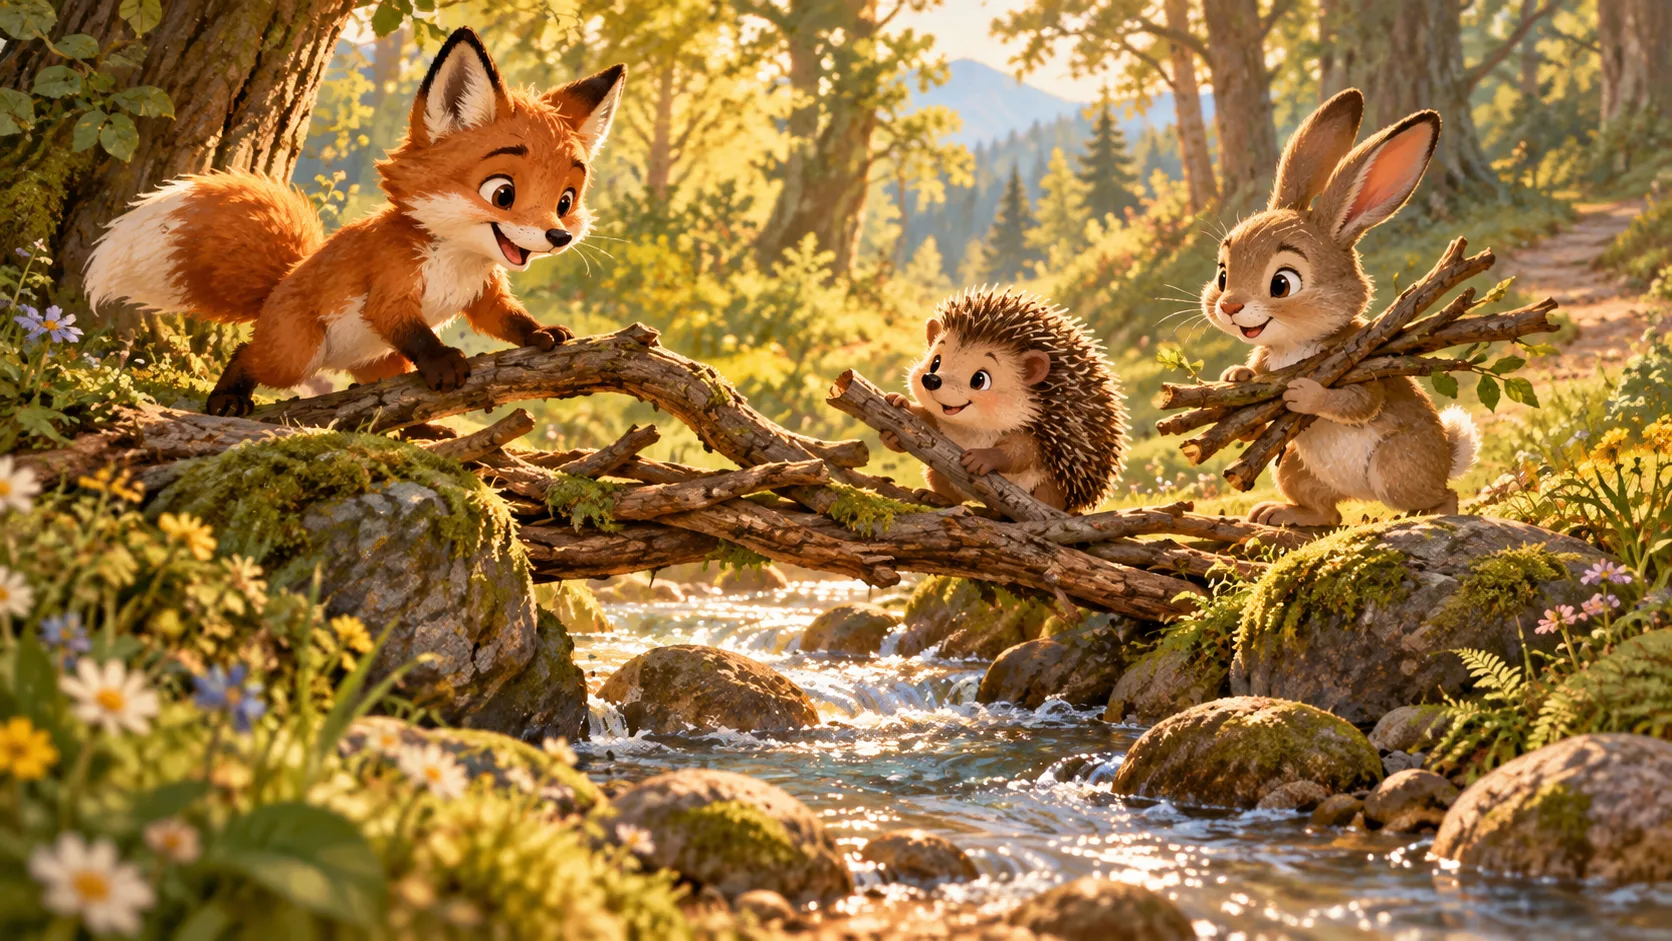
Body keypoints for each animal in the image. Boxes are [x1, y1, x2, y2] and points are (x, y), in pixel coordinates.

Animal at [84, 27, 625, 417]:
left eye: (565, 200)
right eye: (503, 193)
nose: (558, 236)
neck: (455, 259)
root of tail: (277, 285)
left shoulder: (483, 295)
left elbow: (508, 320)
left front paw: (541, 334)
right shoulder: (390, 286)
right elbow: (412, 330)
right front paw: (444, 362)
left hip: (380, 363)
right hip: (296, 356)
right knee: (245, 354)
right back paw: (227, 399)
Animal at [1199, 88, 1478, 528]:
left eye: (1282, 284)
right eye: (1223, 275)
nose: (1229, 305)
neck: (1294, 347)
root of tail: (1450, 457)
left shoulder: (1357, 364)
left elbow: (1359, 402)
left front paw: (1303, 394)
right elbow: (1252, 422)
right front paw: (1235, 376)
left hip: (1395, 465)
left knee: (1441, 495)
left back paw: (1429, 514)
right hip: (1293, 466)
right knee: (1327, 513)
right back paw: (1277, 513)